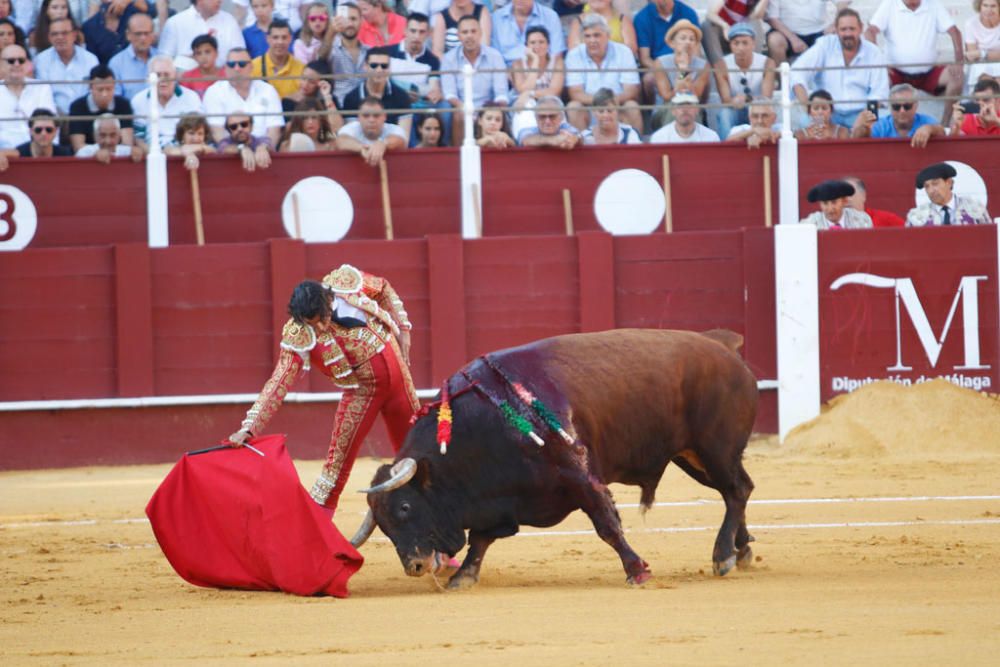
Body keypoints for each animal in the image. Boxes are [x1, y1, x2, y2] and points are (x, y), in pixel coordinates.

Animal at [352, 328, 756, 588]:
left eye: (405, 507)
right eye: (382, 525)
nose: (415, 566)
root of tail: (724, 346)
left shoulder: (581, 476)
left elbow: (607, 525)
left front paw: (637, 570)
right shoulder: (500, 501)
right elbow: (480, 539)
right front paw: (462, 576)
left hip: (714, 450)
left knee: (736, 491)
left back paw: (722, 555)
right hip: (693, 457)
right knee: (737, 490)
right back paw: (742, 550)